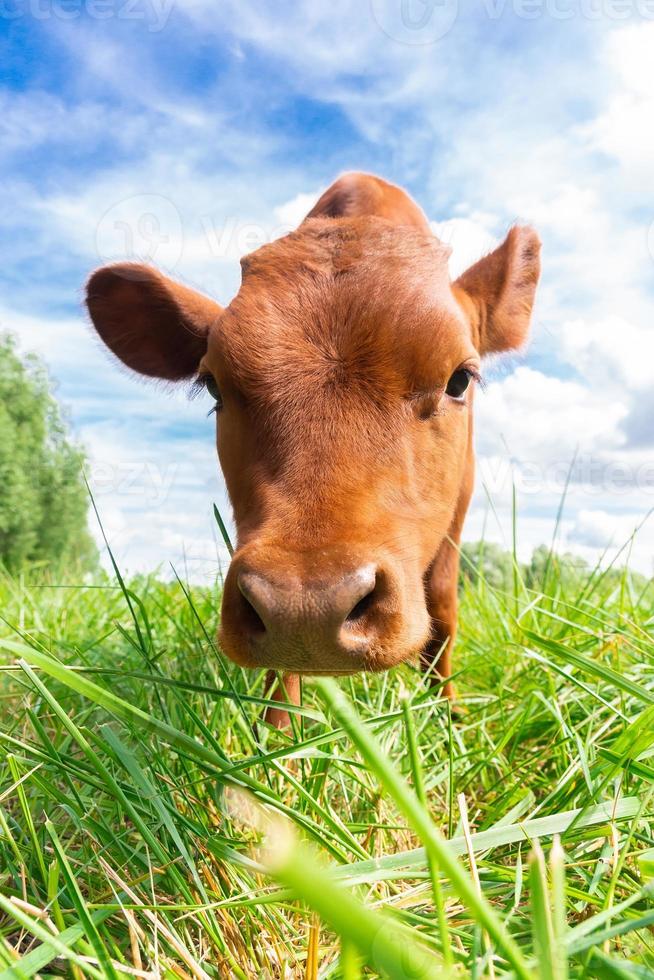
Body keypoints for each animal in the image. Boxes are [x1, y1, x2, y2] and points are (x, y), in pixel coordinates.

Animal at [87, 174, 544, 728]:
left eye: (460, 378)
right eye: (213, 386)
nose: (307, 609)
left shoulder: (462, 497)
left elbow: (443, 608)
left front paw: (449, 717)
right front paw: (277, 737)